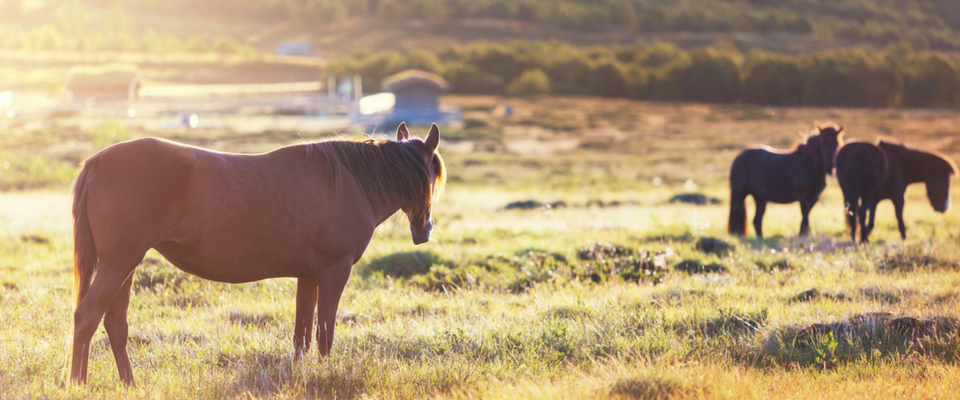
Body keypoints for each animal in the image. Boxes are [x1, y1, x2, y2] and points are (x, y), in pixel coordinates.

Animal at [70, 123, 446, 386]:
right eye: (432, 176)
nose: (424, 230)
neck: (352, 181)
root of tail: (98, 161)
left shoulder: (308, 276)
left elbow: (301, 336)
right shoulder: (334, 271)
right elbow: (324, 335)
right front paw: (326, 375)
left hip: (125, 266)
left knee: (114, 324)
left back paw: (128, 384)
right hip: (118, 266)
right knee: (87, 317)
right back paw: (78, 383)